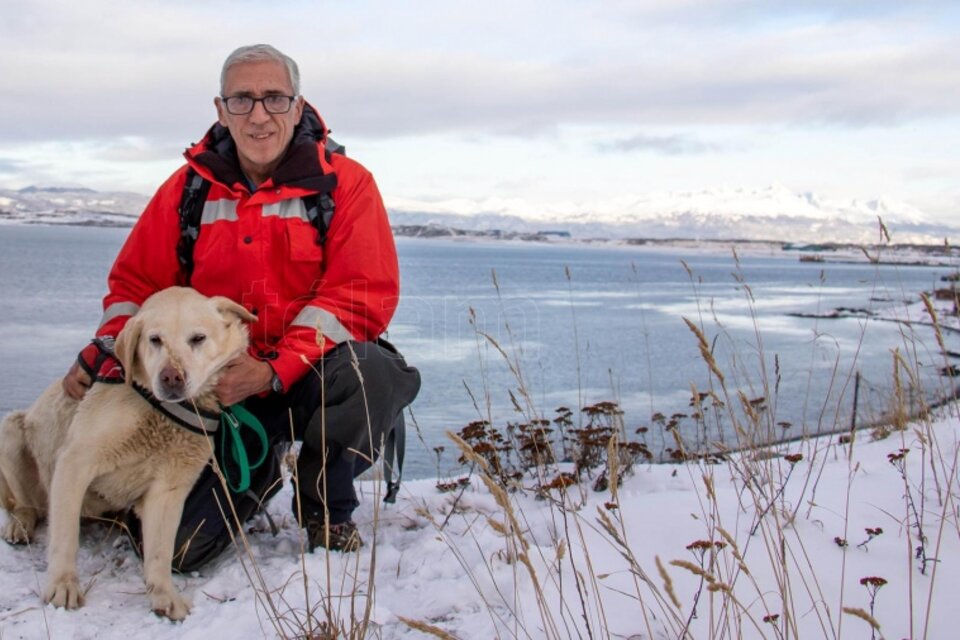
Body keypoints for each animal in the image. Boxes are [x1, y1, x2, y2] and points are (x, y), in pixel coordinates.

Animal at [0, 288, 256, 620]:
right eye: (155, 339)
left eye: (198, 338)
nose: (171, 377)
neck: (158, 411)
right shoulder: (73, 464)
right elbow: (64, 539)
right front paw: (63, 586)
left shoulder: (170, 489)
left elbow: (160, 552)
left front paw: (165, 596)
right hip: (10, 432)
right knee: (25, 505)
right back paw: (19, 525)